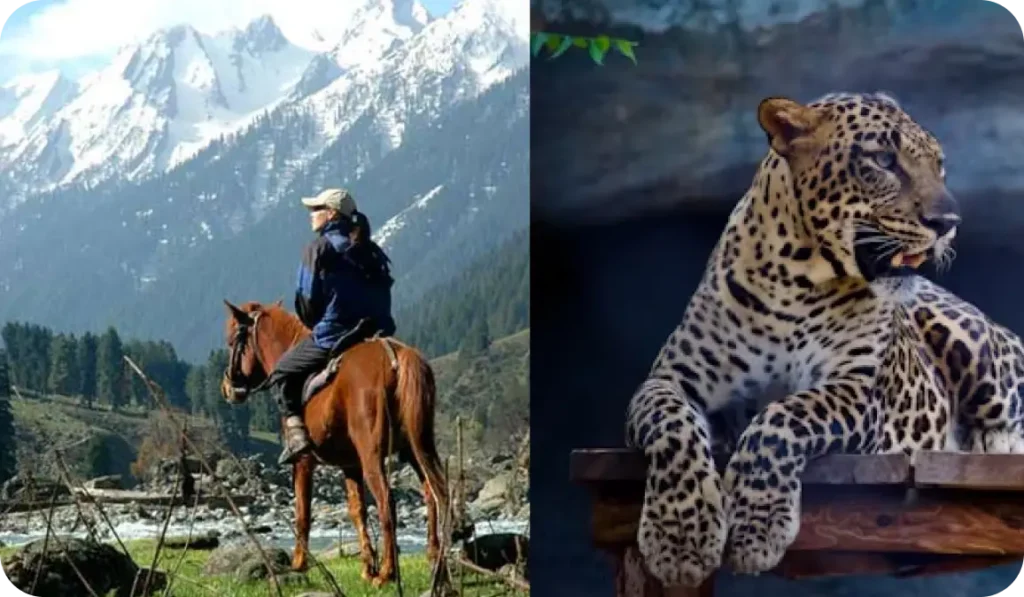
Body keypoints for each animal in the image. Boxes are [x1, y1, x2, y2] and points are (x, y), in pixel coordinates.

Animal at [217, 299, 449, 587]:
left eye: (231, 341)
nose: (227, 387)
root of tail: (394, 356)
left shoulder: (303, 461)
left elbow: (302, 513)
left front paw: (298, 564)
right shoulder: (350, 465)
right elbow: (357, 511)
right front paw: (367, 568)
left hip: (373, 456)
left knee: (387, 502)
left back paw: (388, 573)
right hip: (418, 448)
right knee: (433, 493)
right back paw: (436, 565)